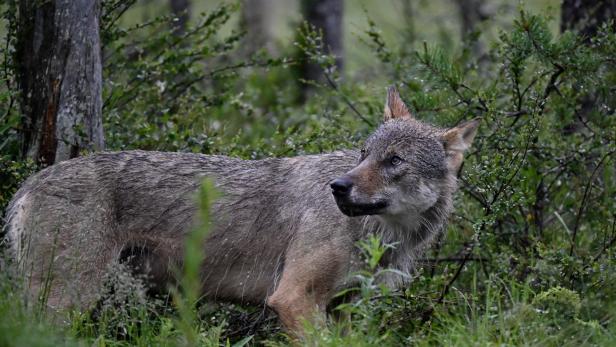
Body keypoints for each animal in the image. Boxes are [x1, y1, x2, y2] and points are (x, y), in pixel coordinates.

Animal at [2, 86, 478, 334]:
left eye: (393, 160)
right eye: (364, 154)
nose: (338, 187)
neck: (385, 236)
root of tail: (30, 182)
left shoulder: (347, 309)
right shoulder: (293, 299)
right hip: (66, 303)